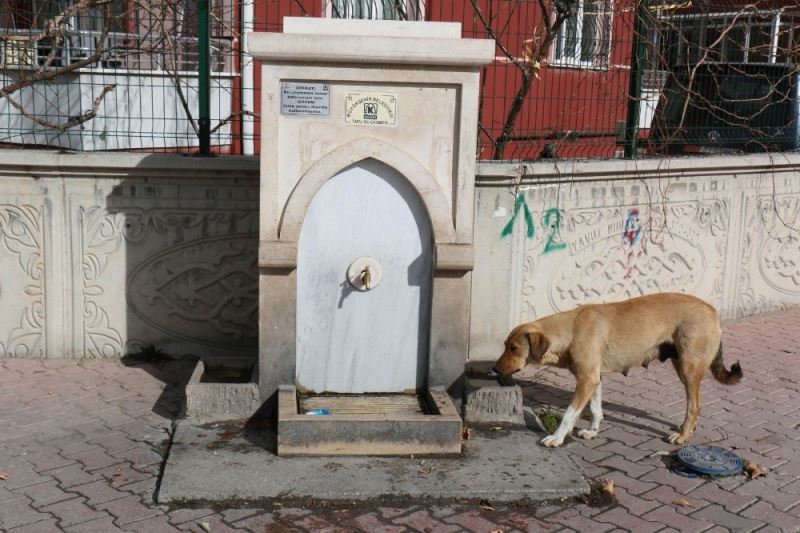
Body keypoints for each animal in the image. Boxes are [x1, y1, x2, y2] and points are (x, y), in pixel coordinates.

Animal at [494, 294, 744, 446]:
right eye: (505, 345)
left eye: (514, 348)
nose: (495, 369)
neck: (570, 330)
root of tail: (712, 310)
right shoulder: (594, 378)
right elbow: (596, 409)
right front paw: (592, 431)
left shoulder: (586, 380)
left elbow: (569, 414)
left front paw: (556, 437)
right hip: (680, 364)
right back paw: (686, 429)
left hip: (689, 369)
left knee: (694, 406)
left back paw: (682, 435)